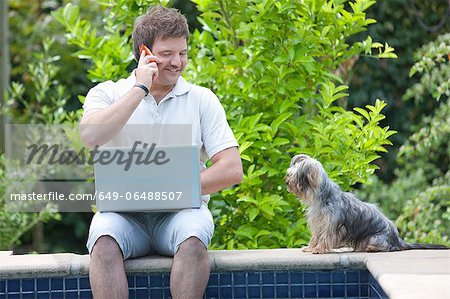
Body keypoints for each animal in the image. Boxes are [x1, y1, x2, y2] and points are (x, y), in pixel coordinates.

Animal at [286, 155, 448, 255]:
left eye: (293, 176)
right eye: (289, 174)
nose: (286, 181)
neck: (322, 197)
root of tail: (398, 240)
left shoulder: (330, 224)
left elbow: (325, 238)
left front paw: (318, 249)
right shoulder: (318, 223)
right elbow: (315, 237)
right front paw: (310, 247)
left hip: (375, 238)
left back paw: (371, 249)